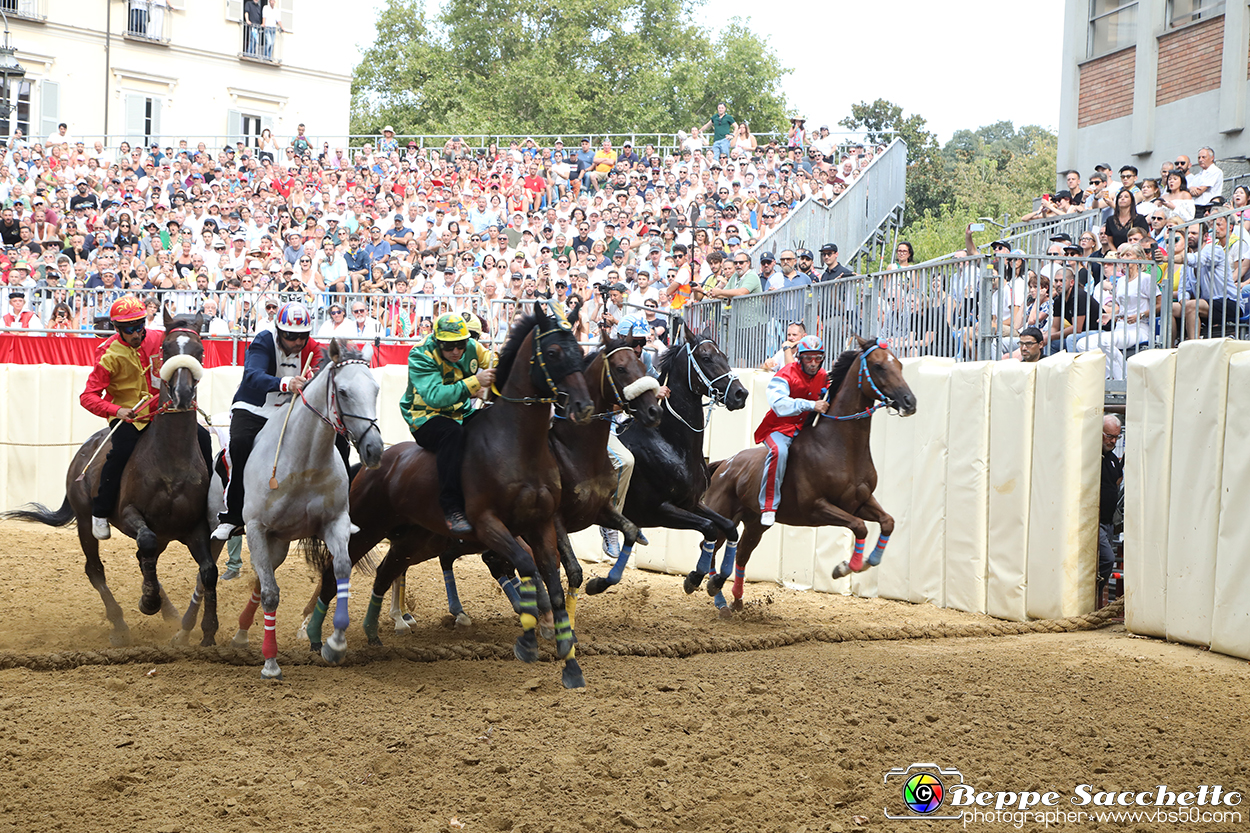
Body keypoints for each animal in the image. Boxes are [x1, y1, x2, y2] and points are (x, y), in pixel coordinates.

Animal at [4, 311, 217, 640]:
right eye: (166, 348)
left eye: (200, 351)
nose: (182, 395)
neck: (172, 464)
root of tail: (82, 452)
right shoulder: (130, 514)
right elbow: (146, 542)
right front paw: (148, 602)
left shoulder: (194, 527)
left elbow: (207, 571)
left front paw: (207, 629)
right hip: (84, 521)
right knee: (96, 569)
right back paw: (120, 624)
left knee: (145, 558)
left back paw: (167, 610)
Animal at [231, 340, 382, 680]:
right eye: (343, 392)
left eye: (376, 389)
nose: (374, 449)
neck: (303, 464)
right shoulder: (256, 528)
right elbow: (272, 594)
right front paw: (270, 663)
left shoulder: (335, 523)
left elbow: (341, 571)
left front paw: (334, 644)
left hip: (279, 543)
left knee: (260, 580)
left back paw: (242, 630)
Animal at [332, 301, 595, 685]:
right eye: (553, 352)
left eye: (580, 350)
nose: (583, 406)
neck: (517, 446)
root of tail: (374, 462)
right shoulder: (488, 525)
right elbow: (526, 566)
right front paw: (531, 636)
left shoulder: (542, 524)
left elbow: (553, 582)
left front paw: (569, 660)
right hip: (367, 527)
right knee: (335, 571)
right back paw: (316, 635)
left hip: (411, 538)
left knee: (384, 571)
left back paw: (370, 631)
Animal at [695, 337, 920, 610]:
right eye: (878, 366)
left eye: (899, 364)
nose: (909, 401)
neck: (838, 446)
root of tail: (724, 464)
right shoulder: (816, 507)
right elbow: (860, 527)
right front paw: (845, 567)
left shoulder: (860, 502)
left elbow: (887, 522)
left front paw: (869, 561)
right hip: (723, 515)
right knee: (711, 546)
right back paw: (714, 593)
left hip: (755, 523)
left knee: (742, 553)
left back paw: (736, 600)